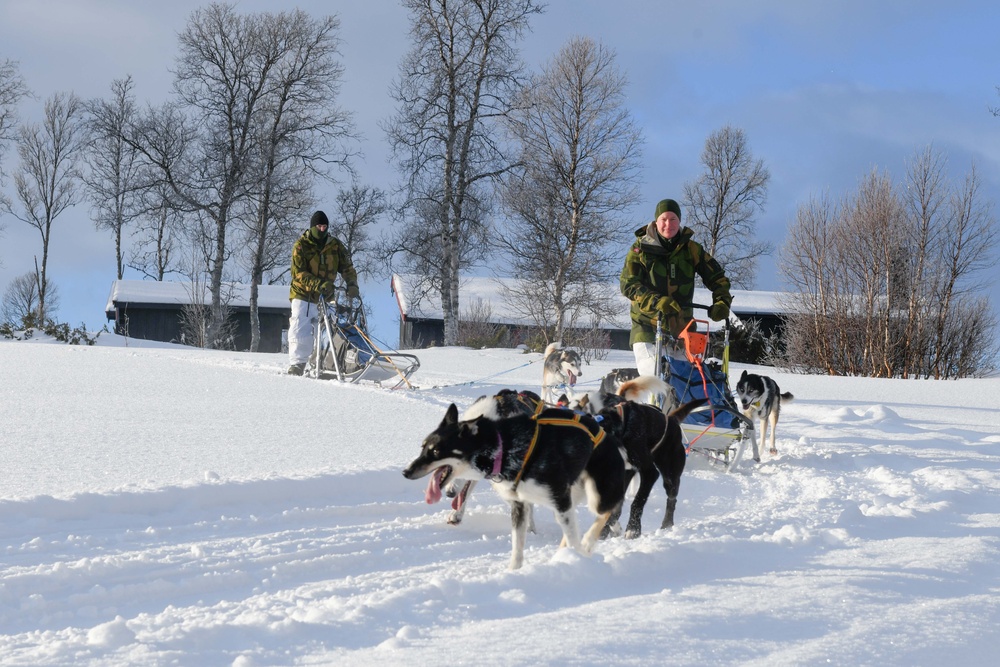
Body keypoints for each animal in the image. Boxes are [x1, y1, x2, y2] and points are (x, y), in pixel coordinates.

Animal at [400, 402, 624, 568]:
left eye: (436, 451)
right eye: (422, 447)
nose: (406, 472)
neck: (505, 449)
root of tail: (607, 435)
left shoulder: (560, 500)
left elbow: (573, 537)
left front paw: (578, 558)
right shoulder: (520, 505)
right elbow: (517, 546)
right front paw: (513, 572)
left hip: (595, 497)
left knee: (605, 512)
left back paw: (586, 543)